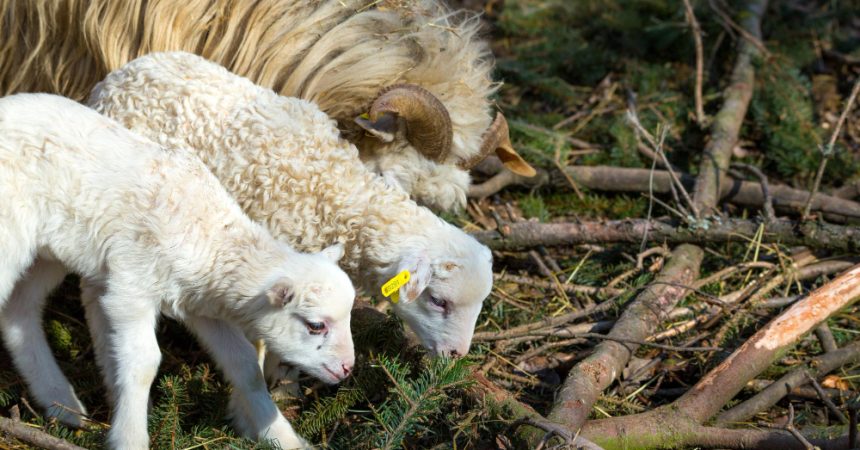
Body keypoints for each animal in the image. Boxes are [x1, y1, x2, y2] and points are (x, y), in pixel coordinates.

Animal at [0, 93, 355, 449]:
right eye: (315, 325)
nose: (348, 368)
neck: (212, 237)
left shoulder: (202, 303)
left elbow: (245, 366)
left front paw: (283, 437)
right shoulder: (131, 286)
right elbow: (143, 364)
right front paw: (130, 437)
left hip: (50, 252)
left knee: (19, 313)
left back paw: (62, 403)